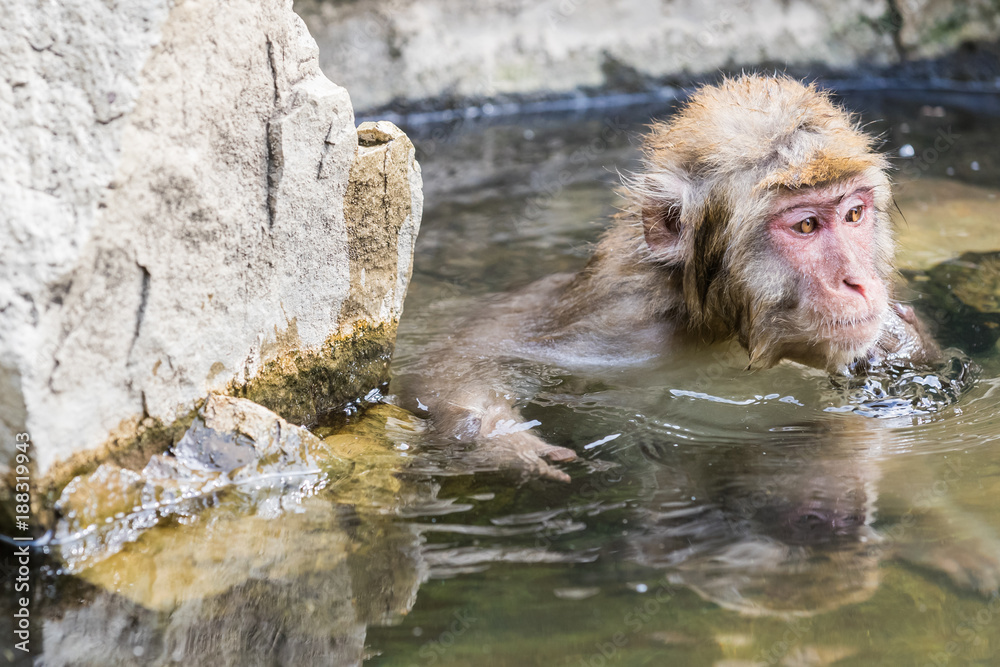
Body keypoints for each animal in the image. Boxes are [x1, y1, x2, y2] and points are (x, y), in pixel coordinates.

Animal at [394, 73, 940, 482]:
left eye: (853, 214)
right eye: (806, 225)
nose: (859, 283)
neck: (712, 323)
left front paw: (898, 341)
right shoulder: (617, 326)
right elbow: (471, 355)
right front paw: (501, 437)